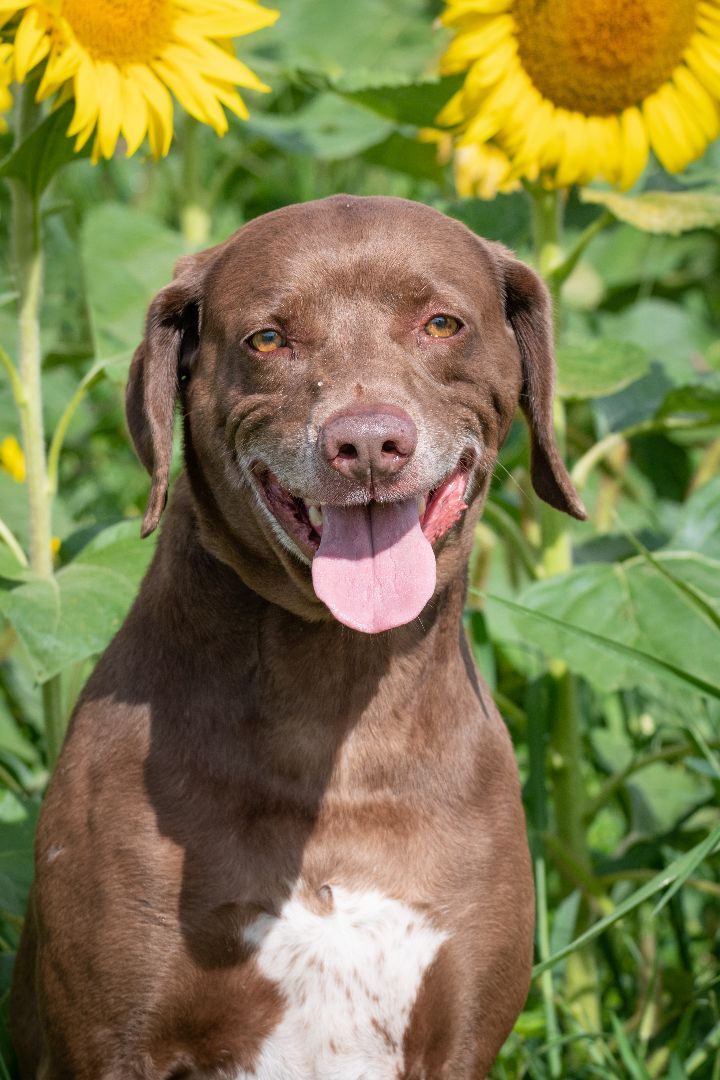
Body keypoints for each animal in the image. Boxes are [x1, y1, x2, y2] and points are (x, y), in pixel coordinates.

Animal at [9, 196, 587, 1080]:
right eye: (268, 339)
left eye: (441, 323)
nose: (368, 443)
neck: (335, 709)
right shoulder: (110, 1040)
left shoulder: (459, 1036)